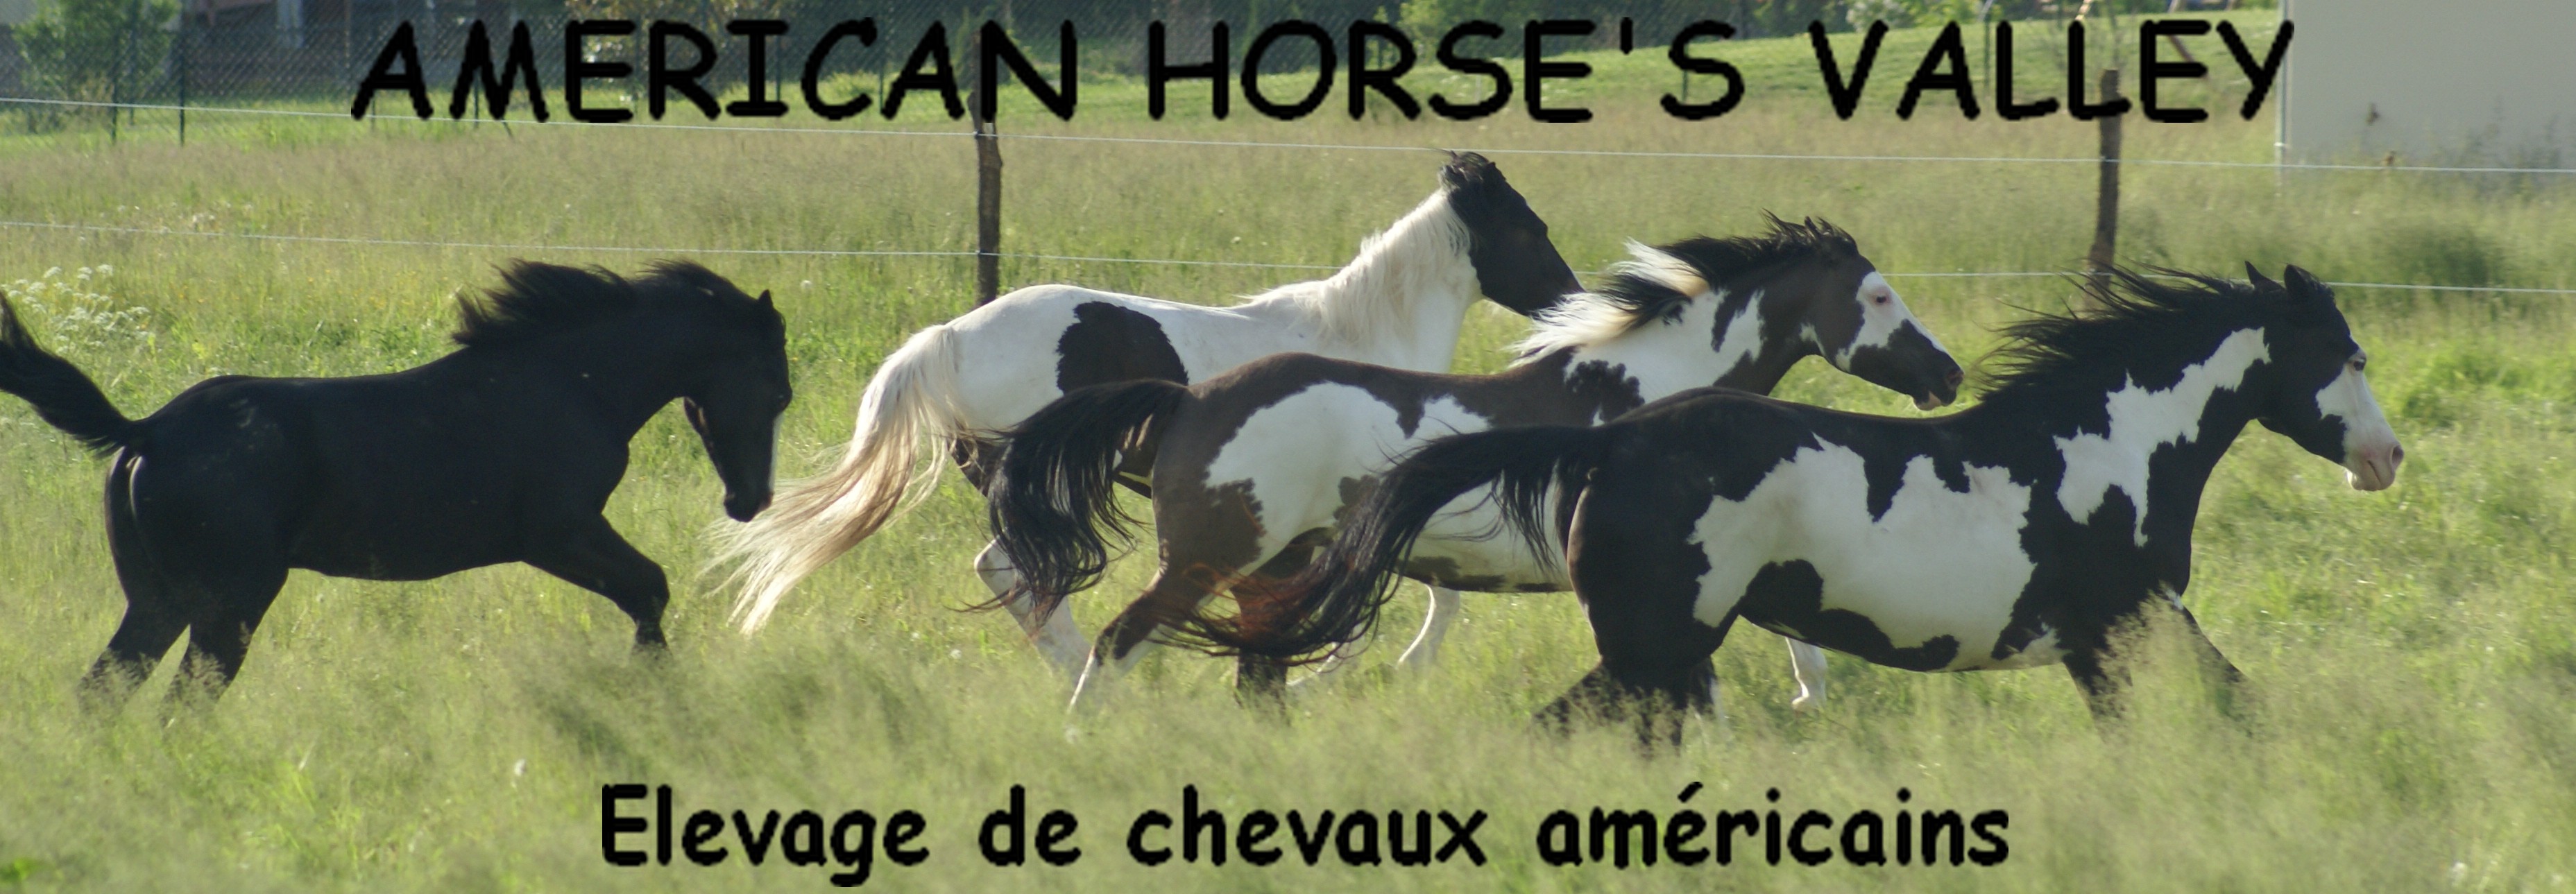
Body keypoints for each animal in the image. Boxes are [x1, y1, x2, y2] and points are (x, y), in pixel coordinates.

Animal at [0, 261, 790, 708]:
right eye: (779, 391)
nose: (750, 502)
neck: (572, 381)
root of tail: (146, 431)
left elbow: (646, 590)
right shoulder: (557, 533)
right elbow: (649, 588)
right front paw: (651, 689)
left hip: (158, 599)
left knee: (104, 692)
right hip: (231, 601)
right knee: (183, 703)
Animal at [712, 151, 1582, 671]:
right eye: (1530, 228)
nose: (1574, 307)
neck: (1363, 335)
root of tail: (949, 339)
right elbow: (1430, 589)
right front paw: (1367, 666)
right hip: (1046, 489)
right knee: (1013, 573)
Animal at [987, 218, 1964, 709]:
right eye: (1879, 296)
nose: (1947, 373)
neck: (1638, 393)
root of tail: (1188, 401)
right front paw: (1805, 698)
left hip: (1273, 568)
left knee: (1255, 673)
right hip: (1208, 557)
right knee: (1117, 641)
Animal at [1188, 265, 2402, 737]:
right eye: (2344, 357)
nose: (2387, 459)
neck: (2102, 452)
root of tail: (1606, 441)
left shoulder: (2117, 634)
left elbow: (2230, 705)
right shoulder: (2121, 624)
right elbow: (2225, 707)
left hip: (1665, 655)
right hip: (1654, 644)